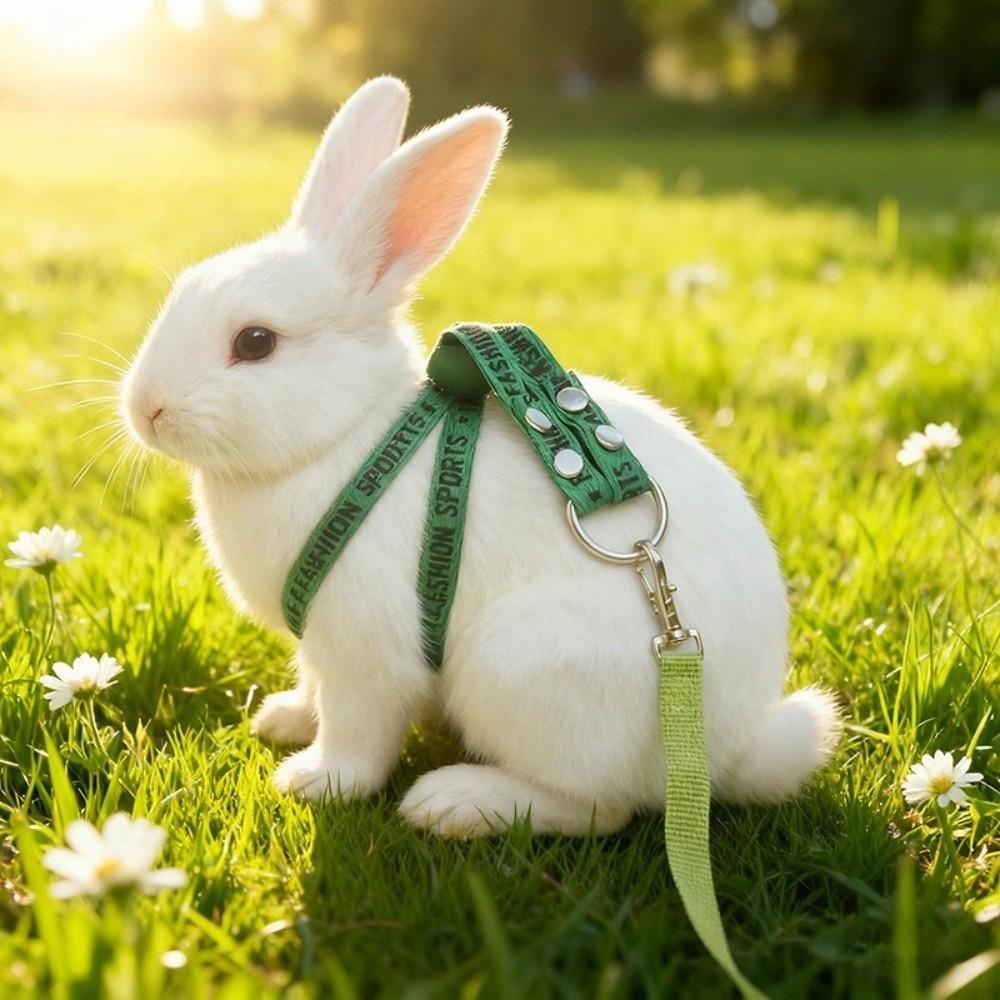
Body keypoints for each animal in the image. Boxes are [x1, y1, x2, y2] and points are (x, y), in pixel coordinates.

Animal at [122, 75, 840, 837]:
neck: (349, 435)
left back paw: (452, 803)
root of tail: (726, 747)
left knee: (597, 807)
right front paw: (284, 720)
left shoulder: (367, 652)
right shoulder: (318, 645)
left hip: (519, 669)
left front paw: (315, 781)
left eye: (255, 342)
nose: (145, 408)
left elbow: (358, 730)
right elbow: (314, 689)